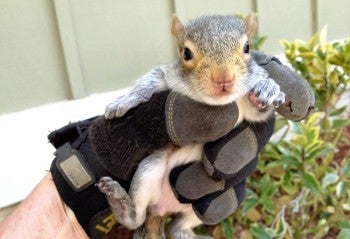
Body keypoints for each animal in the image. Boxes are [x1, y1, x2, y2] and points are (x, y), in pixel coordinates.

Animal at [98, 14, 284, 238]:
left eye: (247, 47)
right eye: (186, 53)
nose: (223, 78)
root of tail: (163, 208)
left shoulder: (248, 107)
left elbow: (259, 112)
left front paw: (269, 89)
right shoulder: (168, 75)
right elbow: (150, 79)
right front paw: (126, 99)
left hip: (208, 209)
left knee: (177, 228)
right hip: (147, 170)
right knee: (136, 219)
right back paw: (120, 202)